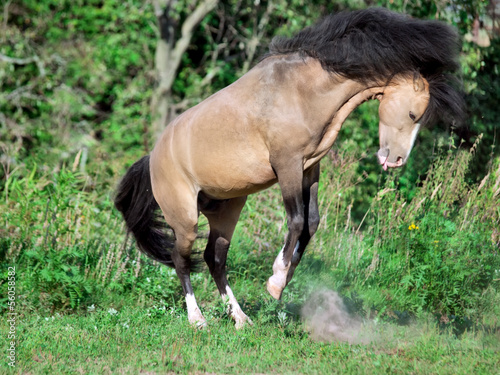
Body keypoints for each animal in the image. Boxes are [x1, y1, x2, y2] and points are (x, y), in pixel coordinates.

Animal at [114, 7, 464, 328]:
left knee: (215, 258)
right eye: (413, 114)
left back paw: (240, 318)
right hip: (185, 219)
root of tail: (153, 157)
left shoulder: (310, 169)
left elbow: (312, 224)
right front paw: (276, 281)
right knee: (181, 259)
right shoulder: (287, 166)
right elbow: (296, 221)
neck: (303, 91)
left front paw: (281, 281)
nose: (396, 160)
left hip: (226, 212)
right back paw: (197, 319)